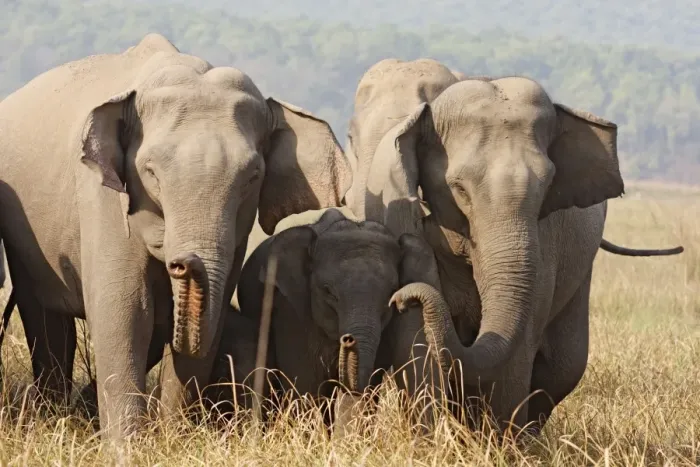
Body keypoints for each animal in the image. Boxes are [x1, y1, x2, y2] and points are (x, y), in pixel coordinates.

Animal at [0, 33, 351, 439]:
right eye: (150, 171)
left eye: (252, 177)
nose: (181, 264)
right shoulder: (100, 198)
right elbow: (127, 310)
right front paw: (127, 446)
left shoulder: (237, 232)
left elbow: (209, 319)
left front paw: (174, 437)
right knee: (46, 321)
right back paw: (53, 415)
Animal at [346, 61, 684, 433]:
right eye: (458, 188)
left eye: (548, 186)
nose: (402, 296)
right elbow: (417, 343)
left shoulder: (545, 240)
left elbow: (518, 348)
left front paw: (498, 442)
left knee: (564, 365)